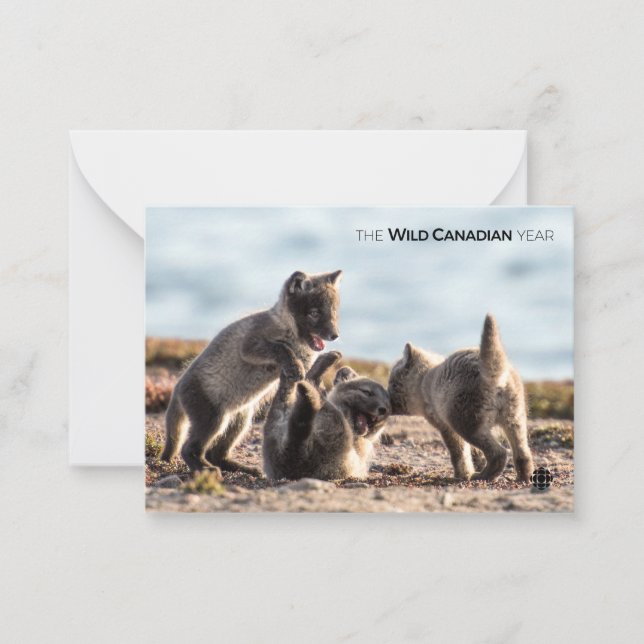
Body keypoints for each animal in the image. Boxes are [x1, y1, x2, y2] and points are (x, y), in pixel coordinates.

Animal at [161, 270, 343, 473]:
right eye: (314, 313)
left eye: (334, 312)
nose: (335, 335)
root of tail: (177, 388)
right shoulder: (249, 345)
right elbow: (280, 347)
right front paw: (292, 363)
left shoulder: (305, 365)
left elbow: (311, 369)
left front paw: (326, 360)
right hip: (213, 419)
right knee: (188, 449)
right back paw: (205, 469)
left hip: (240, 420)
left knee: (216, 454)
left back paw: (240, 468)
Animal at [263, 352, 391, 480]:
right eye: (367, 392)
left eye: (387, 404)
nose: (383, 409)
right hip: (275, 427)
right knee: (284, 398)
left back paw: (310, 387)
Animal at [387, 314, 533, 482]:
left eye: (392, 384)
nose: (385, 399)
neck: (426, 380)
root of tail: (494, 376)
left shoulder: (445, 425)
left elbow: (459, 453)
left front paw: (462, 474)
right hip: (515, 419)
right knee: (523, 453)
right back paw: (524, 477)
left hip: (466, 422)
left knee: (499, 453)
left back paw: (483, 476)